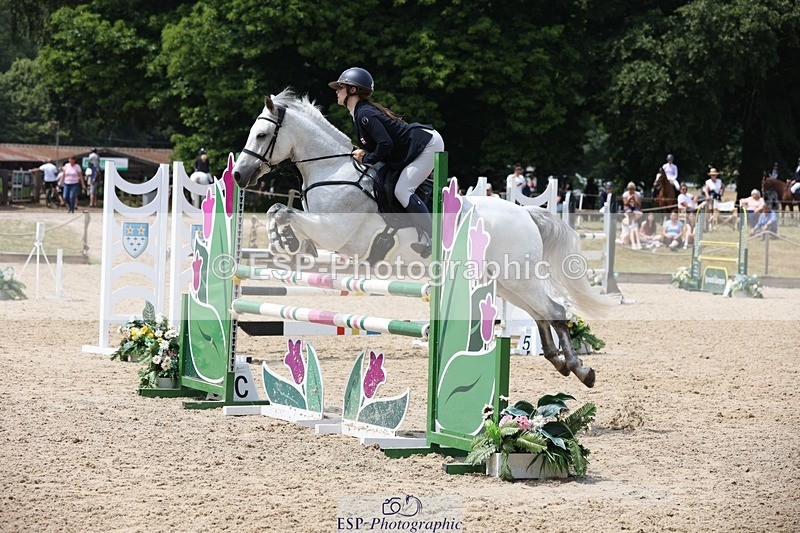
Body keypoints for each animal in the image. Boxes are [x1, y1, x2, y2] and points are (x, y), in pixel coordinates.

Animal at [232, 89, 613, 388]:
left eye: (262, 135)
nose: (238, 175)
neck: (332, 169)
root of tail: (525, 213)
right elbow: (278, 211)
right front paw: (289, 243)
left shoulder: (334, 232)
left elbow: (283, 211)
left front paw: (287, 242)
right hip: (505, 282)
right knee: (541, 314)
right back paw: (563, 363)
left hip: (518, 276)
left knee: (555, 310)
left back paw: (580, 369)